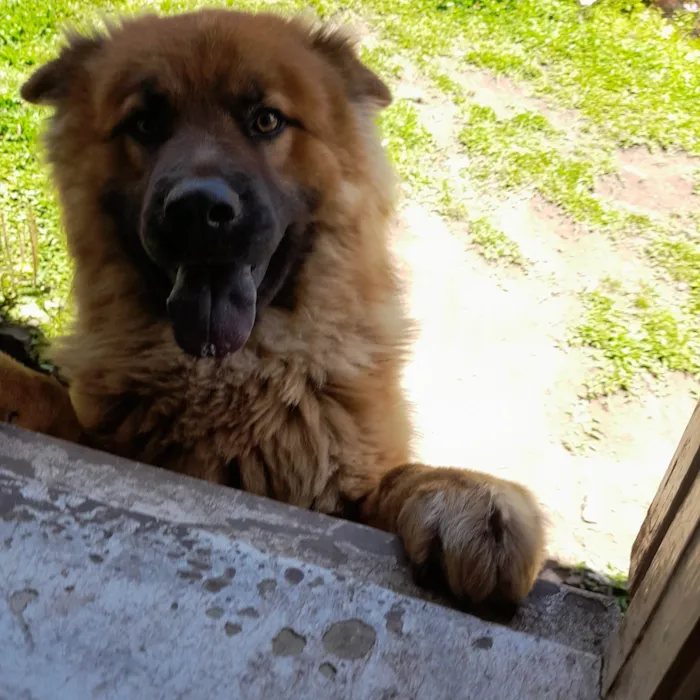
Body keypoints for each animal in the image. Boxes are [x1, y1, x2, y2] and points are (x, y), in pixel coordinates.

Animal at [0, 8, 544, 604]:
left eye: (266, 121)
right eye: (145, 124)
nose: (198, 210)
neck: (232, 378)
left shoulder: (342, 484)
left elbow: (391, 481)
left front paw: (466, 493)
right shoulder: (107, 438)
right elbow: (51, 401)